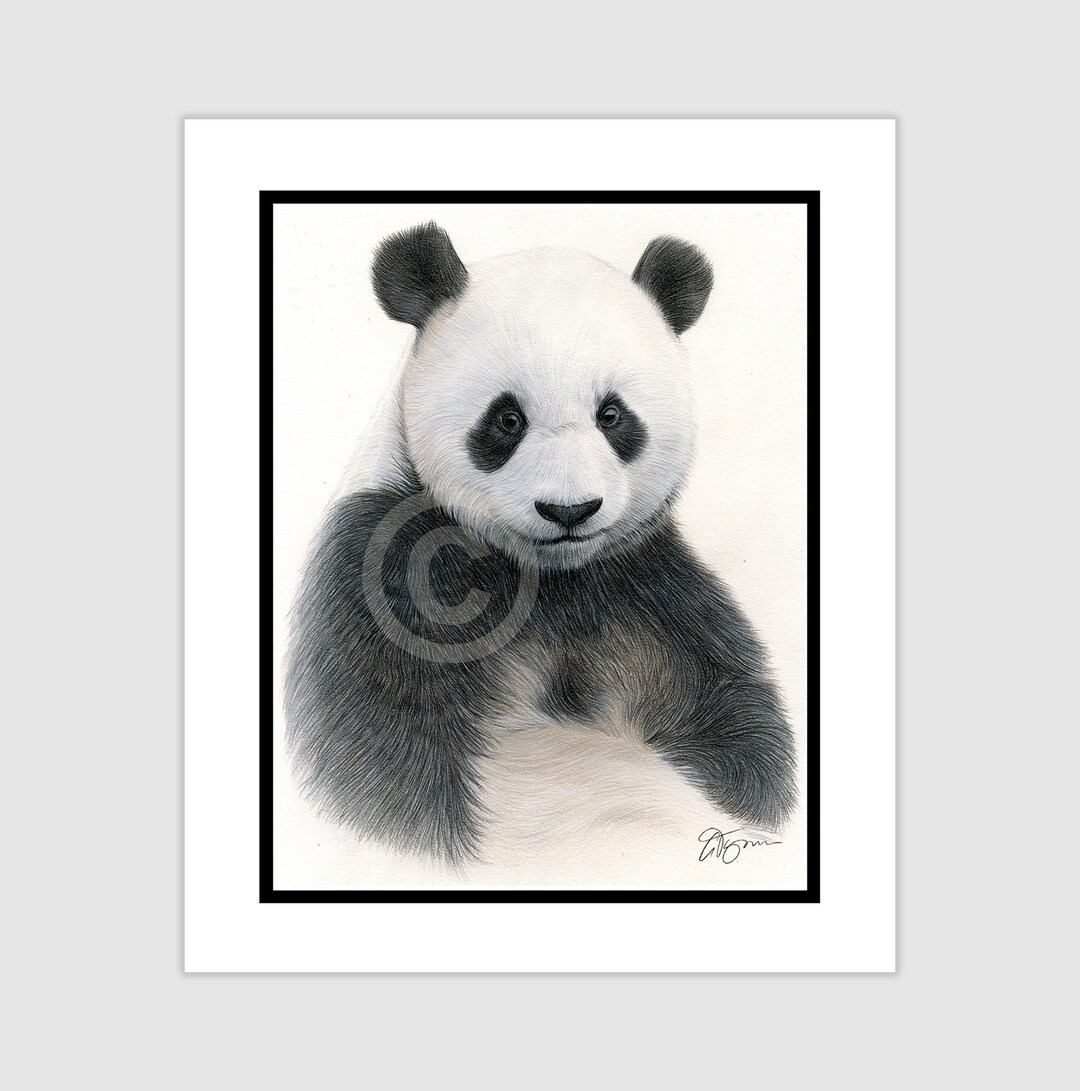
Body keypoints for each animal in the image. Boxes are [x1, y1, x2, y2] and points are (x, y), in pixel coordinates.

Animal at [284, 222, 796, 870]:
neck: (544, 579)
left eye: (612, 415)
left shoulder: (645, 589)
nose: (569, 510)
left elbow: (731, 718)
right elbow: (378, 758)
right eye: (507, 419)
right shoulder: (383, 568)